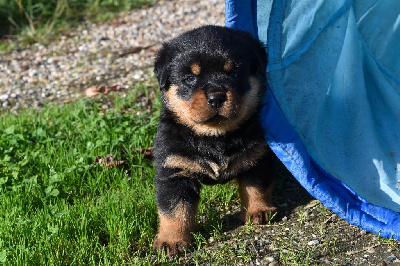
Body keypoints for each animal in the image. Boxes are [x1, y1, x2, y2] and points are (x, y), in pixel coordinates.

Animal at [152, 25, 276, 256]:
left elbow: (257, 187)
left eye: (234, 73)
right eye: (190, 78)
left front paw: (259, 210)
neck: (214, 137)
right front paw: (172, 240)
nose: (216, 96)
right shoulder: (174, 170)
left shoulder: (258, 157)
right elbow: (174, 210)